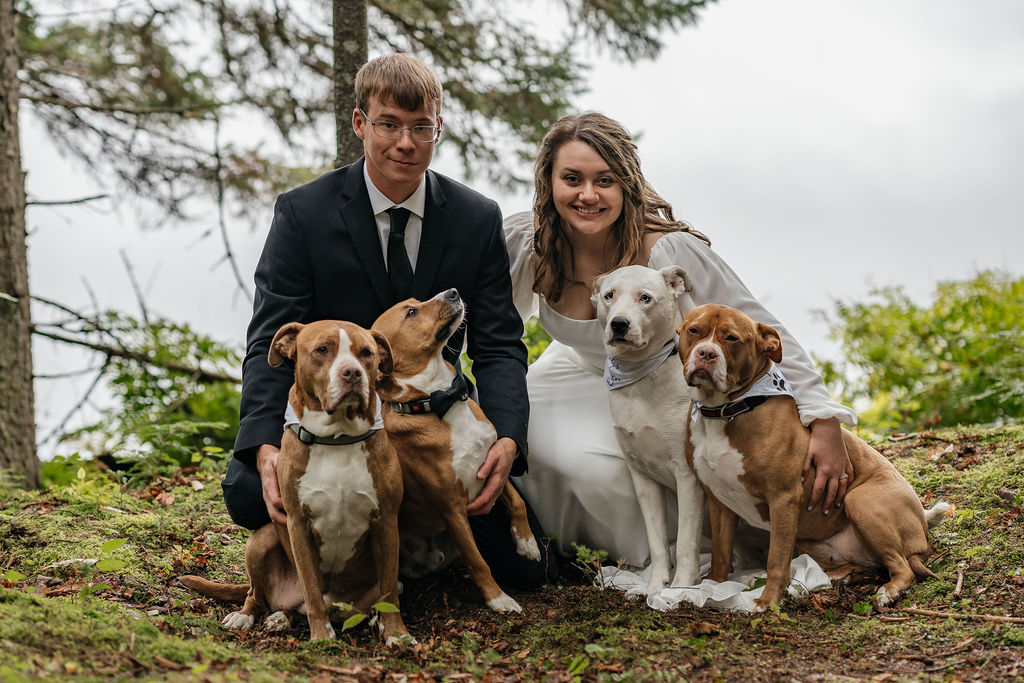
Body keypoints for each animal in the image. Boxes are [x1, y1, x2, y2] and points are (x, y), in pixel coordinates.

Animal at [182, 317, 409, 643]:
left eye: (366, 352)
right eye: (323, 349)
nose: (352, 373)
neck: (338, 438)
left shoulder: (387, 522)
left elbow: (390, 590)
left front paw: (397, 634)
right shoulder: (298, 525)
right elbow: (312, 589)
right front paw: (321, 636)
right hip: (261, 540)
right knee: (261, 594)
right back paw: (250, 615)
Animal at [370, 288, 544, 614]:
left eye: (416, 303)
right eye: (411, 312)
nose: (453, 292)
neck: (441, 399)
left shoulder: (493, 462)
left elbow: (517, 502)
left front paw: (526, 542)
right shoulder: (451, 509)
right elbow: (478, 561)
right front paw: (498, 599)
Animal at [589, 264, 708, 593]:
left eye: (645, 298)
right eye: (609, 295)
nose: (619, 324)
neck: (641, 376)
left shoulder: (688, 475)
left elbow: (685, 541)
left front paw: (679, 590)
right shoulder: (642, 476)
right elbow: (656, 540)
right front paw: (656, 586)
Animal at [675, 305, 946, 610]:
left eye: (732, 338)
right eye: (694, 330)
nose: (706, 353)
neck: (727, 410)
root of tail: (922, 525)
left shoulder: (783, 498)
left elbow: (776, 559)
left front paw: (767, 601)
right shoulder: (719, 500)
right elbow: (721, 553)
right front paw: (714, 585)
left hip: (861, 501)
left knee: (903, 568)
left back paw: (889, 591)